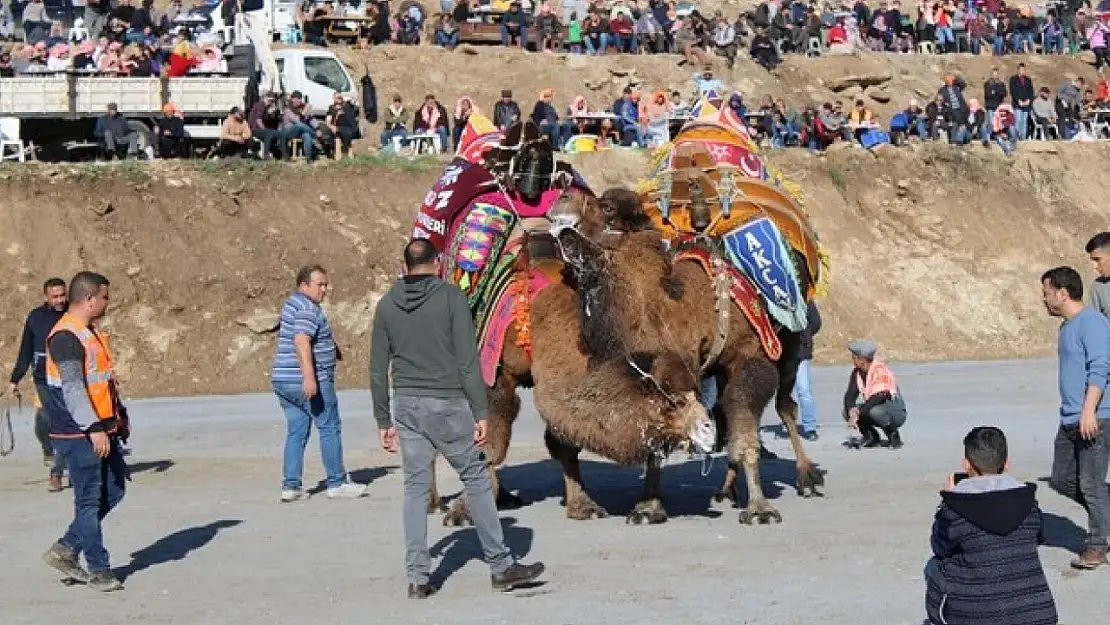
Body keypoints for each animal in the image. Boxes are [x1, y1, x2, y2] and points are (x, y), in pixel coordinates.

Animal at [555, 190, 825, 528]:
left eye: (606, 207)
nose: (563, 196)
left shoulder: (750, 356)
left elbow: (745, 423)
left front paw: (761, 509)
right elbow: (657, 437)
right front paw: (648, 508)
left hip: (791, 343)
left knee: (785, 405)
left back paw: (807, 477)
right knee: (724, 410)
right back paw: (726, 490)